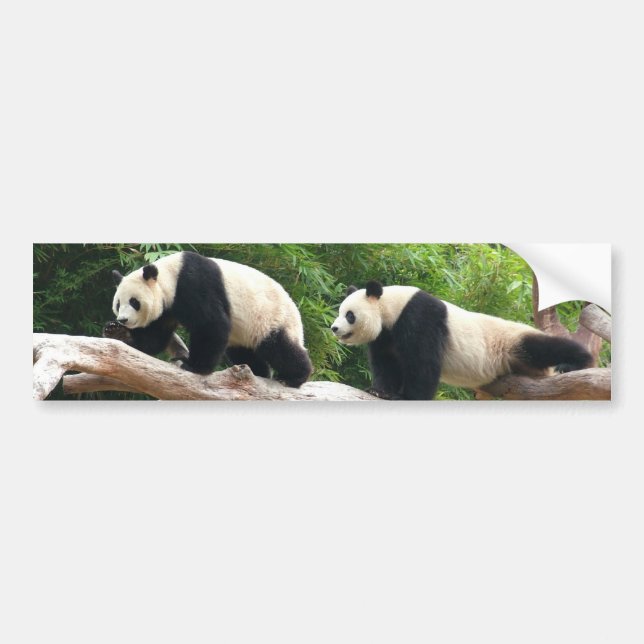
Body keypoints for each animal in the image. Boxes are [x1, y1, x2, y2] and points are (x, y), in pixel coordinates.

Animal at [103, 251, 313, 387]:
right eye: (118, 304)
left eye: (134, 302)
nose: (123, 320)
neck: (170, 276)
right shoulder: (167, 308)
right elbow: (155, 337)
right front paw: (116, 332)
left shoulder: (194, 283)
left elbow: (211, 324)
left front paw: (193, 366)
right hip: (244, 334)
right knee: (243, 352)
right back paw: (259, 373)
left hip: (271, 318)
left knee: (279, 347)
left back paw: (293, 377)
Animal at [331, 280, 593, 400]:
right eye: (340, 312)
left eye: (349, 315)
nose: (334, 328)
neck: (391, 307)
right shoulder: (385, 336)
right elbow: (386, 364)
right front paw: (379, 391)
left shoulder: (419, 317)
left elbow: (423, 364)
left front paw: (407, 396)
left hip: (511, 340)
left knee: (542, 347)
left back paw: (575, 362)